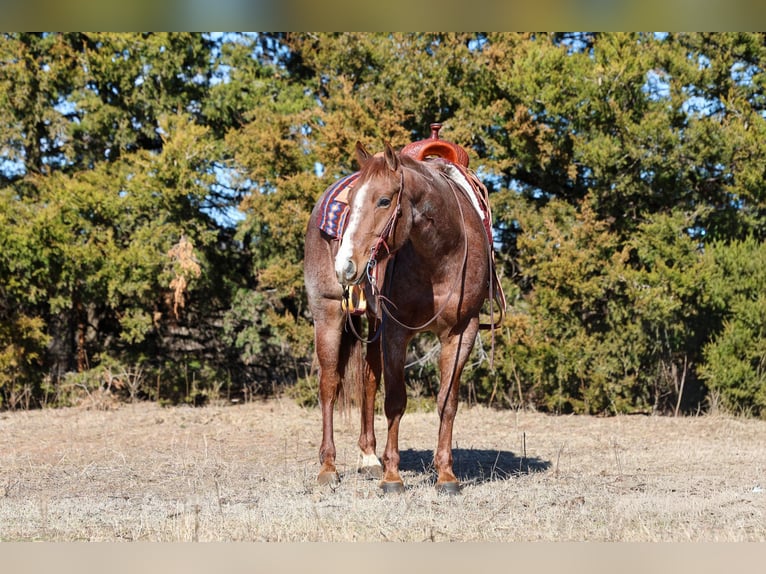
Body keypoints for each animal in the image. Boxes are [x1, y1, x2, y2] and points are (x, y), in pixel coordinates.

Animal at [303, 138, 503, 494]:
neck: (442, 255)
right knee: (329, 384)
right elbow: (396, 401)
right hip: (327, 312)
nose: (346, 266)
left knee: (368, 379)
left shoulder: (462, 332)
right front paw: (393, 476)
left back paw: (369, 458)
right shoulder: (397, 332)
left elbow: (447, 401)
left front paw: (446, 475)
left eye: (384, 200)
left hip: (372, 323)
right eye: (351, 202)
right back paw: (328, 467)